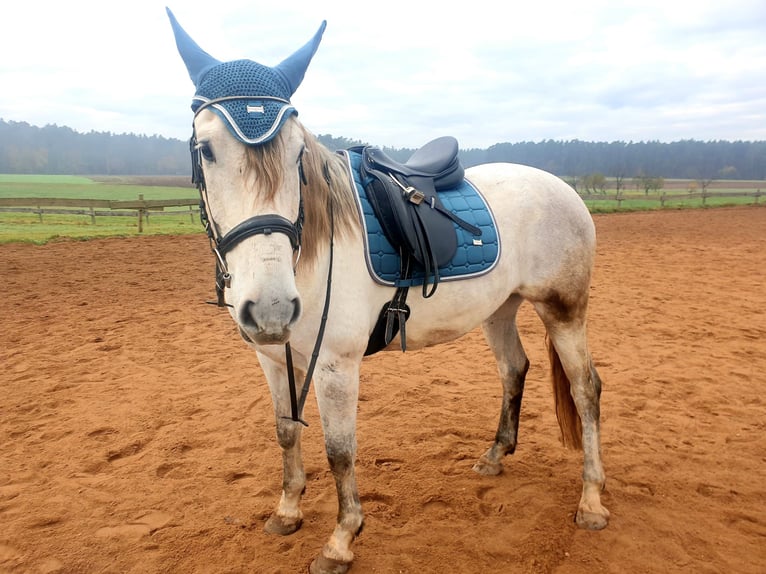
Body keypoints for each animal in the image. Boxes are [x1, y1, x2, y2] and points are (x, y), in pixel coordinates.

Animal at [167, 9, 609, 573]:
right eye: (206, 150)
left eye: (297, 155)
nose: (271, 307)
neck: (309, 251)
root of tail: (563, 188)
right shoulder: (272, 357)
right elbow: (286, 429)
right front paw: (287, 511)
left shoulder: (335, 364)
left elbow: (340, 450)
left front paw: (341, 540)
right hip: (499, 309)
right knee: (515, 369)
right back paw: (494, 456)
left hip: (564, 309)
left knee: (586, 389)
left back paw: (591, 500)